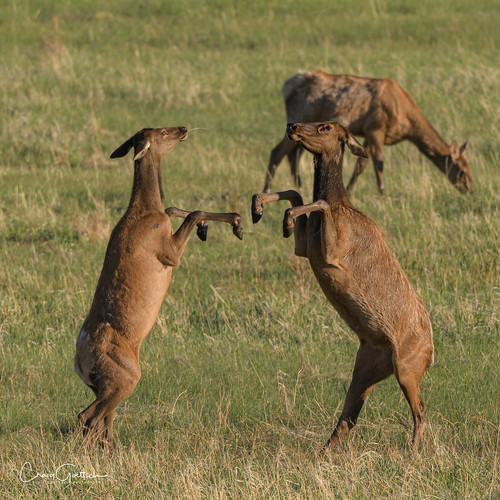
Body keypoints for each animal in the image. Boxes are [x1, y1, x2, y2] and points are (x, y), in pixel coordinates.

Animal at [74, 127, 244, 452]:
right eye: (163, 132)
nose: (183, 128)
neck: (144, 212)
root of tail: (80, 364)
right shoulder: (168, 253)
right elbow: (192, 212)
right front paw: (232, 221)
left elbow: (174, 207)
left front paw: (226, 224)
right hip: (126, 377)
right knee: (87, 417)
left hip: (106, 385)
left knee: (102, 419)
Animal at [254, 120, 434, 454]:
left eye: (326, 126)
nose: (292, 125)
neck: (345, 207)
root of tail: (431, 355)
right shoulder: (306, 249)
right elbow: (297, 194)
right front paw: (260, 207)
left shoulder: (335, 250)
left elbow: (320, 202)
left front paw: (281, 218)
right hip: (366, 366)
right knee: (349, 417)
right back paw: (323, 453)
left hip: (407, 364)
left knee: (420, 409)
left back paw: (413, 452)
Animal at [264, 68, 474, 195]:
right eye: (462, 170)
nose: (471, 189)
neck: (405, 122)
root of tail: (286, 87)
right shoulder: (376, 128)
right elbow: (378, 164)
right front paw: (383, 195)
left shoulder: (367, 133)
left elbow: (361, 164)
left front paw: (348, 191)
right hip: (297, 116)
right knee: (277, 152)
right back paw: (266, 191)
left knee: (293, 156)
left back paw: (300, 187)